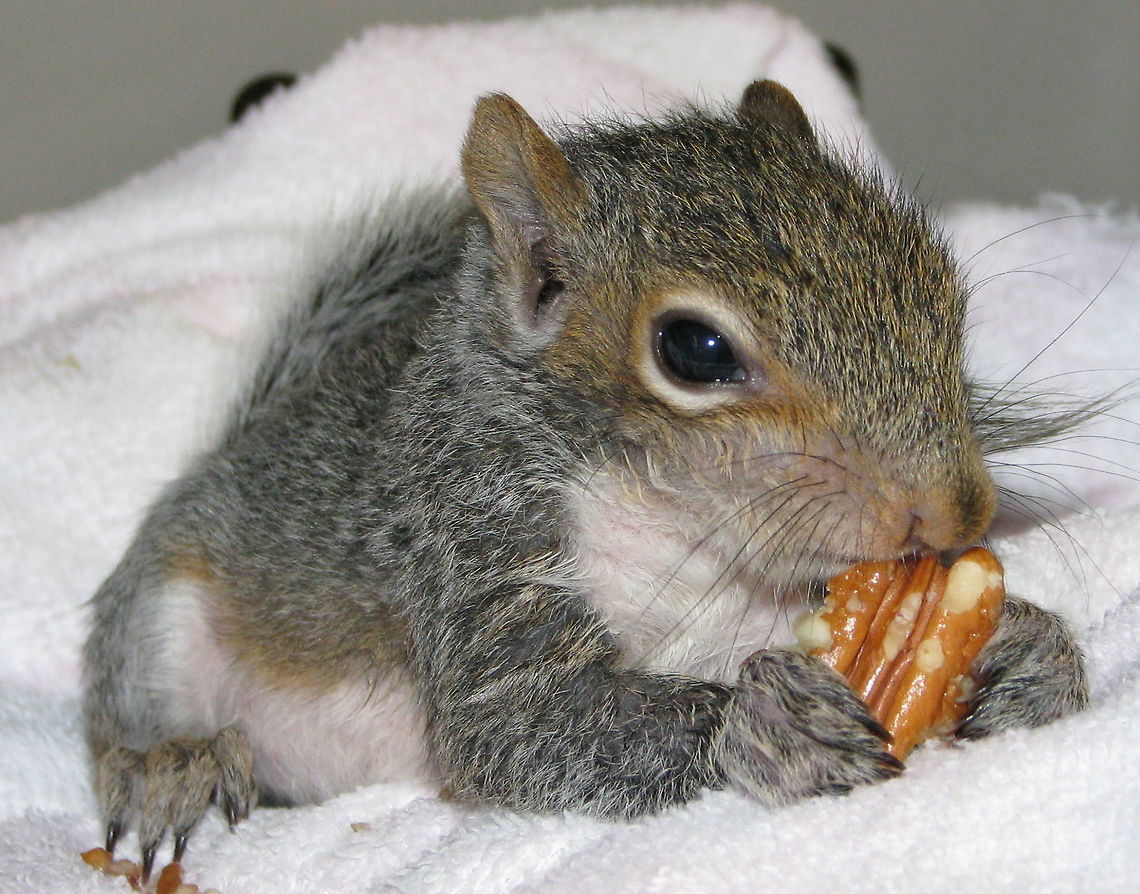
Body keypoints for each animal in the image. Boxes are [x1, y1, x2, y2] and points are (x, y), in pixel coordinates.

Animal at [83, 80, 1089, 877]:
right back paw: (168, 766)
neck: (683, 527)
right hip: (158, 610)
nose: (955, 512)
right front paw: (767, 718)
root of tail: (236, 446)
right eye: (695, 349)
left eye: (945, 295)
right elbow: (515, 724)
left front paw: (1028, 651)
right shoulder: (472, 541)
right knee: (122, 711)